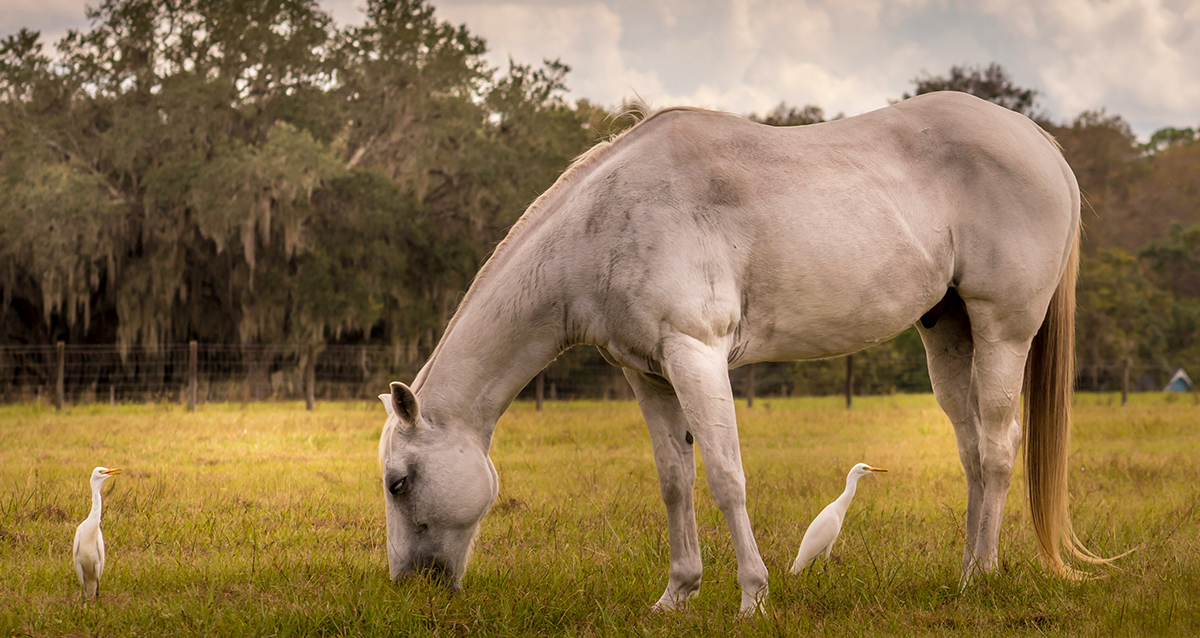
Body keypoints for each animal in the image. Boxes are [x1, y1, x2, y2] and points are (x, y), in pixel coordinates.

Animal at [374, 89, 1104, 614]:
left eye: (398, 482)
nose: (410, 587)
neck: (605, 220)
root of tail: (1041, 143)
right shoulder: (647, 375)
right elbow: (675, 482)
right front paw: (676, 595)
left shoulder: (695, 355)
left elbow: (726, 477)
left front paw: (753, 595)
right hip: (948, 331)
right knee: (973, 451)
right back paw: (965, 571)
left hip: (1003, 330)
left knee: (999, 447)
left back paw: (981, 578)